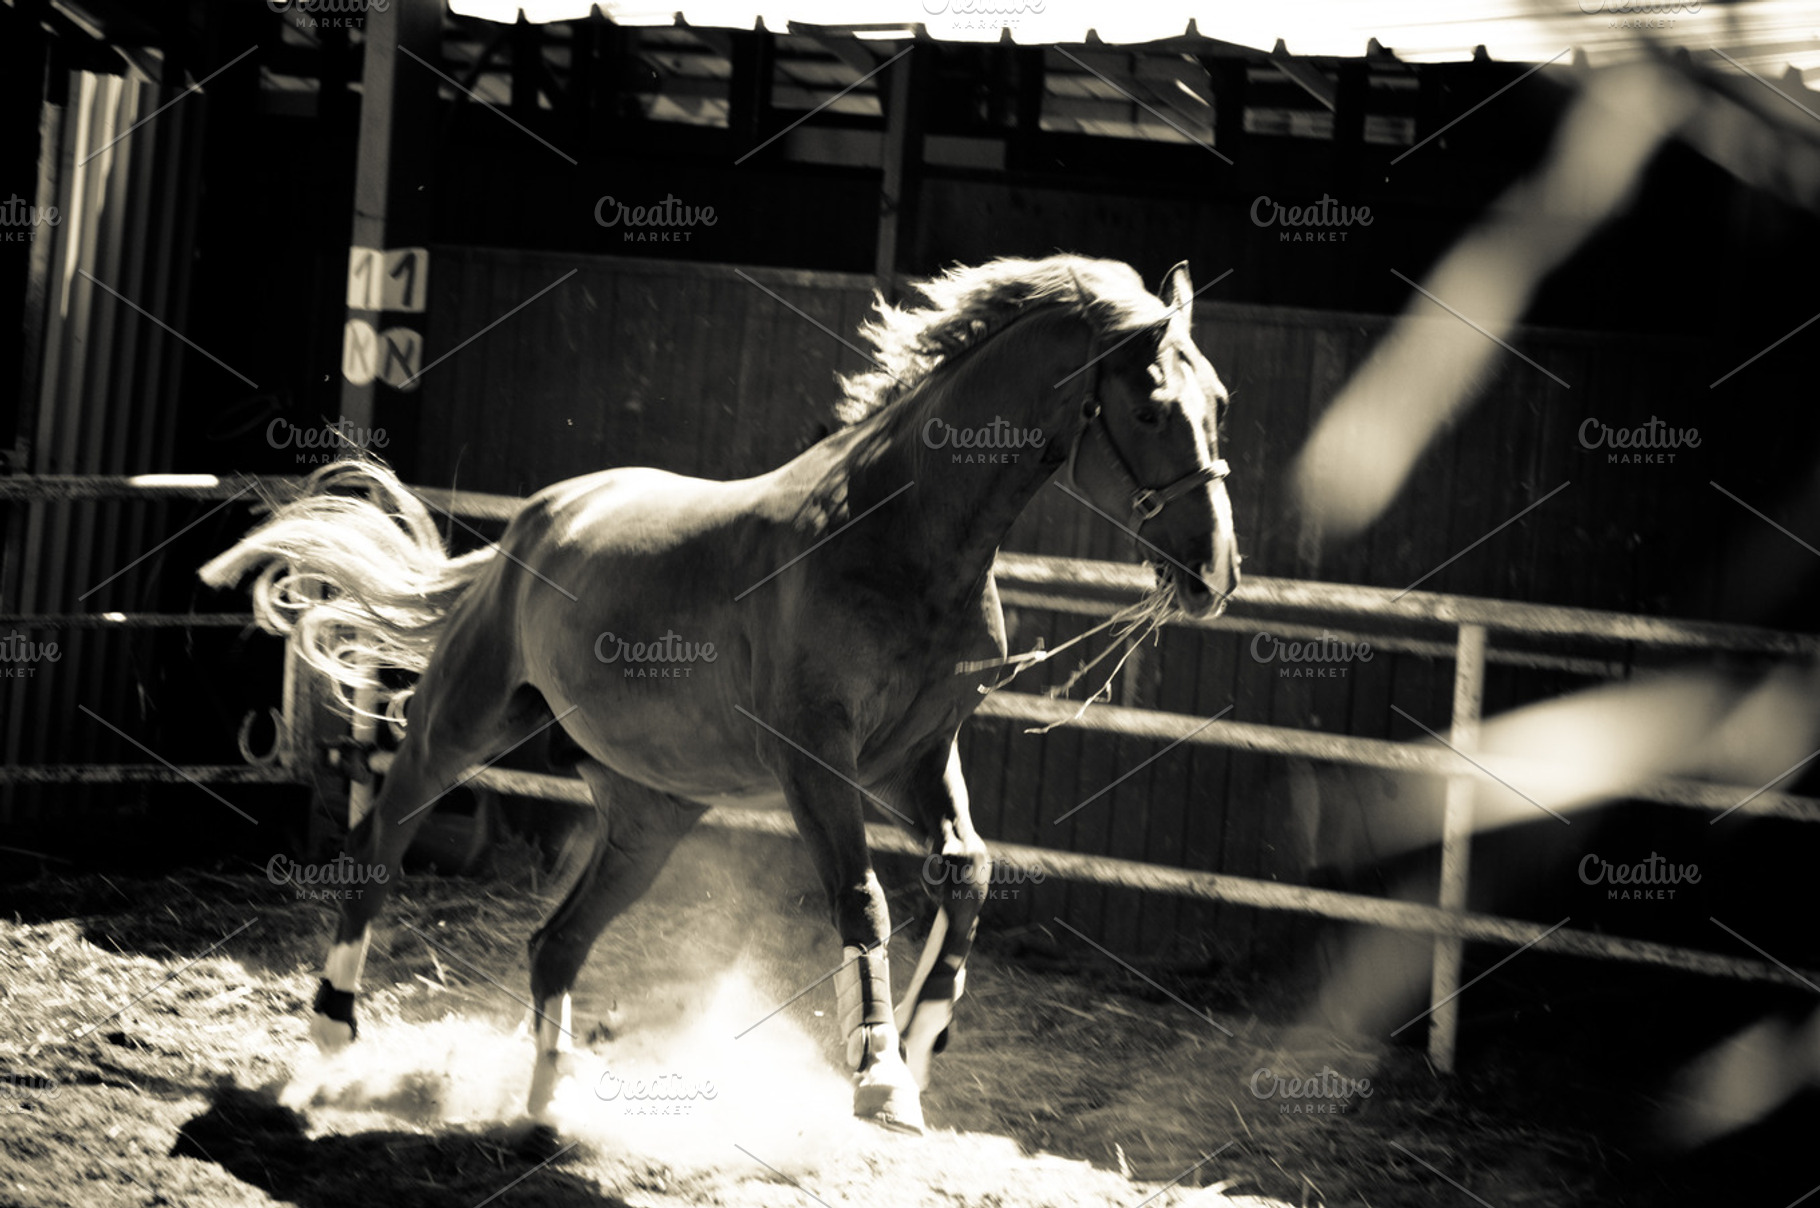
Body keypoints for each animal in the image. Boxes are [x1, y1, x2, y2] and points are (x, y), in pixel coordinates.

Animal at [201, 253, 1240, 1137]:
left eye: (1220, 401)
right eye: (1153, 410)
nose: (1215, 572)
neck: (900, 536)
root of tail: (531, 527)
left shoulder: (914, 753)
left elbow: (968, 868)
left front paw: (923, 1039)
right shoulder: (815, 758)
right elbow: (862, 899)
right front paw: (879, 1074)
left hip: (651, 811)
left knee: (555, 942)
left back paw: (548, 1105)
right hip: (466, 721)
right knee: (381, 842)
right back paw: (330, 1035)